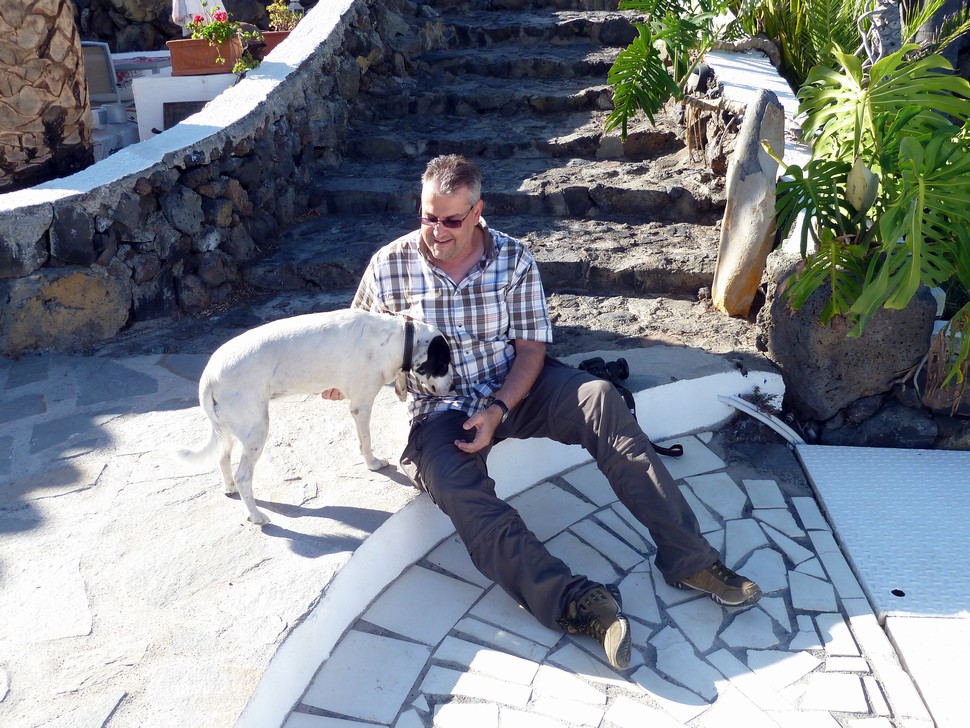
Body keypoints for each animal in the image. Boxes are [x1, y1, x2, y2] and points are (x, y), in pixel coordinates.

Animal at [175, 309, 453, 524]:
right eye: (443, 364)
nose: (452, 388)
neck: (395, 338)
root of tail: (209, 376)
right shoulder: (361, 406)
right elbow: (366, 441)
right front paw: (372, 463)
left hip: (230, 429)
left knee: (223, 459)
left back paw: (230, 488)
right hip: (256, 429)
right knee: (243, 476)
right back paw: (256, 516)